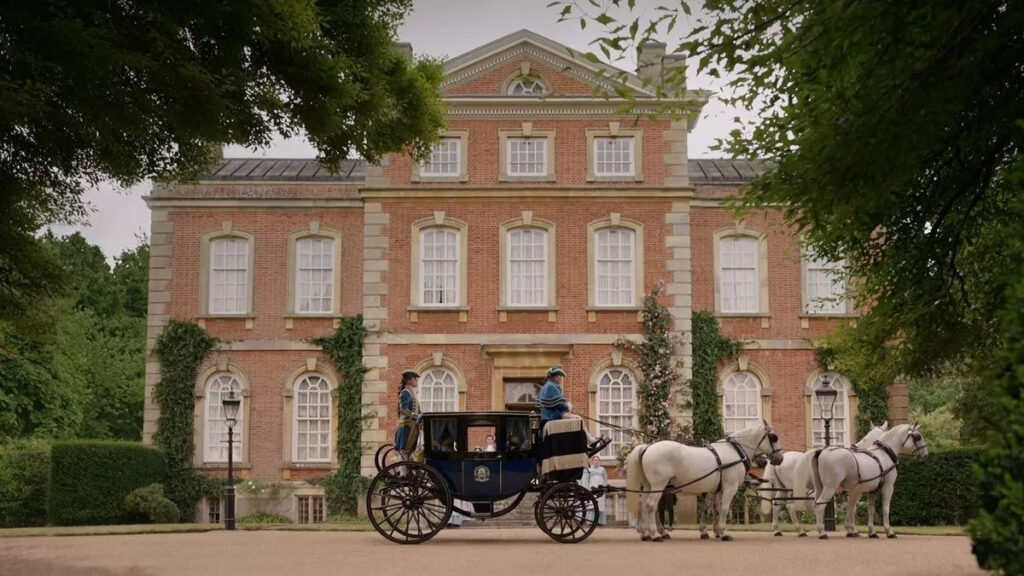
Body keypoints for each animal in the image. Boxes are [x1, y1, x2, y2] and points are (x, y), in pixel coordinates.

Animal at [622, 420, 782, 541]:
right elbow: (724, 509)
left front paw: (711, 531)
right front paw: (724, 533)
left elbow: (712, 509)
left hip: (649, 486)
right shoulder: (730, 487)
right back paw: (655, 535)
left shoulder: (716, 489)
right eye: (773, 437)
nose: (780, 458)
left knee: (644, 506)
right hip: (659, 485)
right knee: (650, 506)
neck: (734, 452)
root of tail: (647, 447)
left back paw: (646, 534)